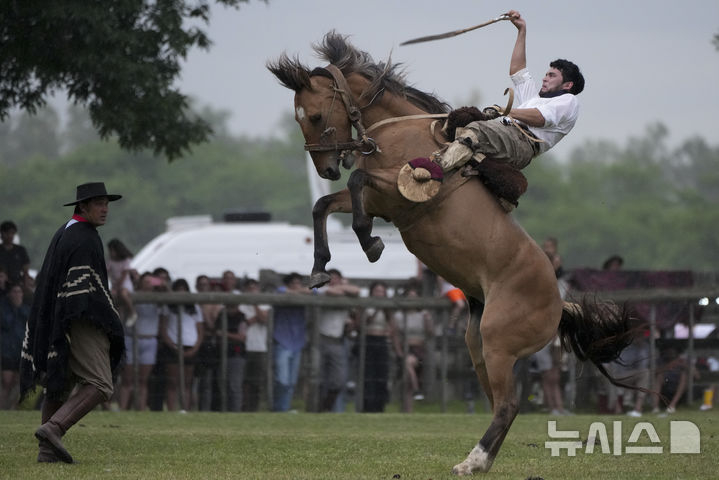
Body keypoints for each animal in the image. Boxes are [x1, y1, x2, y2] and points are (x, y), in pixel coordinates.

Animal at [268, 31, 632, 474]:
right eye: (300, 117)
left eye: (318, 116)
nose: (326, 169)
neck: (399, 134)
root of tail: (559, 303)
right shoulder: (378, 200)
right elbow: (324, 205)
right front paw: (321, 267)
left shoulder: (394, 193)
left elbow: (356, 184)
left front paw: (370, 242)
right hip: (478, 346)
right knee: (498, 404)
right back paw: (481, 461)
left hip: (498, 343)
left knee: (509, 405)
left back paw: (472, 461)